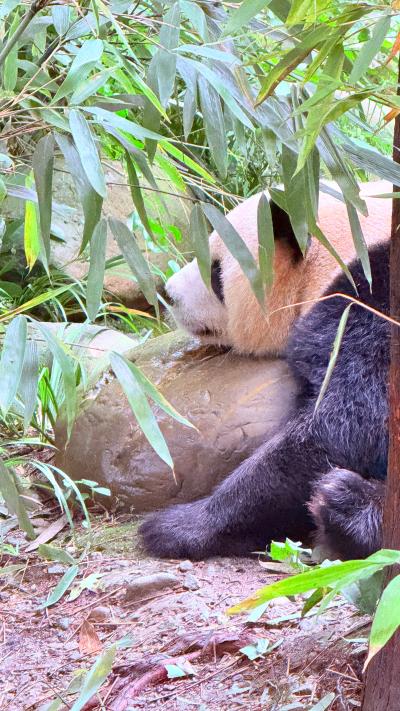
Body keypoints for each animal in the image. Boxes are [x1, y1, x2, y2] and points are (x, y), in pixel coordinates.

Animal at [140, 184, 391, 561]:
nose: (166, 292)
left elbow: (347, 425)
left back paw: (350, 509)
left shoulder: (372, 302)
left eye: (214, 269)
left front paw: (179, 526)